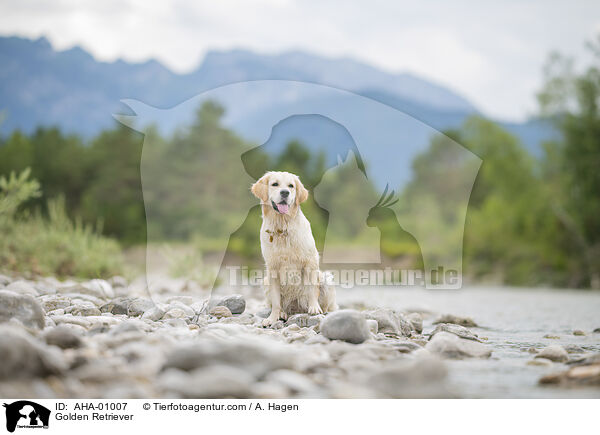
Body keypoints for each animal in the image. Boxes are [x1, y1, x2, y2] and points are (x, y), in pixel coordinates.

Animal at [251, 170, 338, 328]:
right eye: (275, 184)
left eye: (291, 186)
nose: (285, 192)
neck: (282, 227)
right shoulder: (272, 268)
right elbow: (276, 301)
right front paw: (272, 318)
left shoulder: (310, 261)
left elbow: (312, 289)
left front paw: (314, 308)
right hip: (265, 281)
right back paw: (282, 313)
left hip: (326, 279)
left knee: (328, 305)